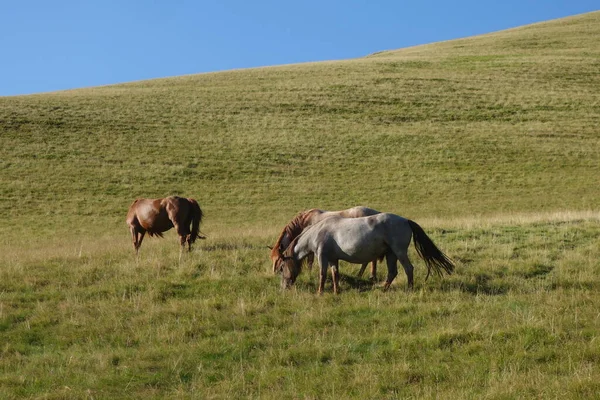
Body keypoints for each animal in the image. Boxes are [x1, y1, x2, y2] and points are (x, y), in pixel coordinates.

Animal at [278, 212, 454, 294]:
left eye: (281, 268)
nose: (284, 287)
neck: (318, 232)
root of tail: (405, 220)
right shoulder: (334, 259)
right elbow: (335, 274)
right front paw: (336, 291)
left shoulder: (323, 257)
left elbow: (322, 275)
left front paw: (320, 292)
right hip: (391, 254)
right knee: (392, 272)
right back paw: (384, 289)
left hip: (399, 252)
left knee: (408, 269)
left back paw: (409, 289)